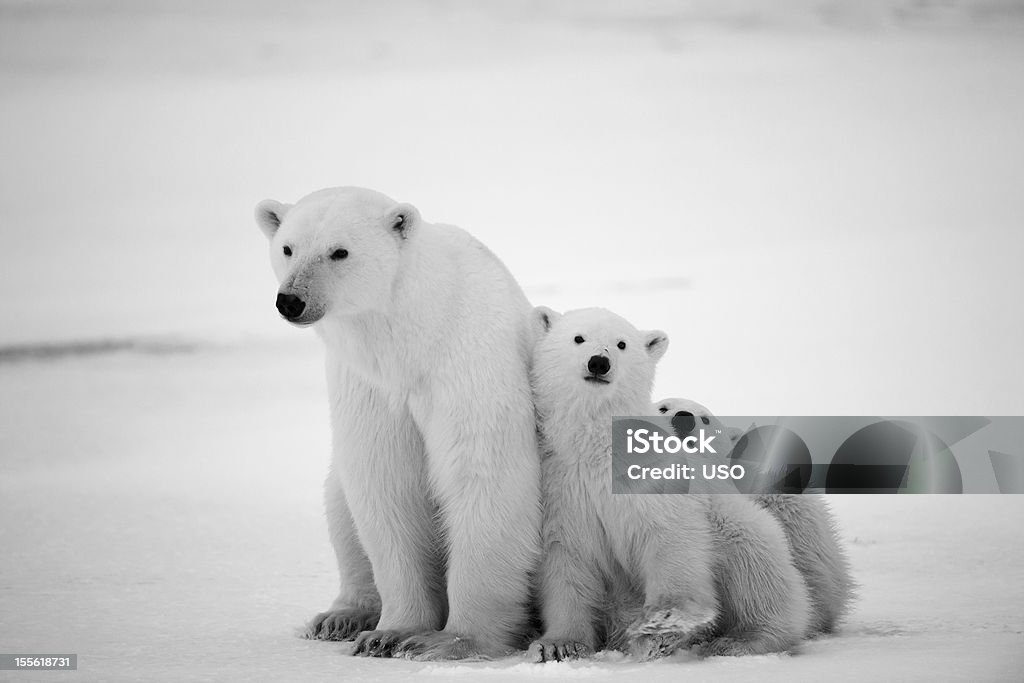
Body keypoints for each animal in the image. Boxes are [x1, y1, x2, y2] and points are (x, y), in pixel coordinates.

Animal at [253, 188, 544, 663]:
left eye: (339, 251)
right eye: (288, 248)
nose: (291, 300)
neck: (412, 337)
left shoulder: (469, 362)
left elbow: (483, 475)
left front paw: (451, 641)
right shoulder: (369, 385)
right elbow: (385, 483)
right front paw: (390, 634)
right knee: (339, 504)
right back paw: (341, 616)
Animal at [528, 309, 806, 663]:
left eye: (621, 344)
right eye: (578, 338)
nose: (598, 363)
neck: (597, 449)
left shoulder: (653, 481)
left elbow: (669, 538)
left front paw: (661, 629)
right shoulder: (563, 488)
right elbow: (567, 561)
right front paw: (558, 645)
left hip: (737, 525)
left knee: (755, 569)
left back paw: (741, 640)